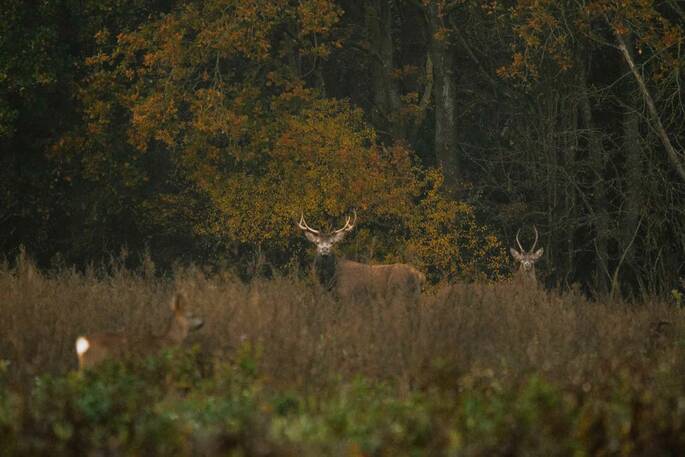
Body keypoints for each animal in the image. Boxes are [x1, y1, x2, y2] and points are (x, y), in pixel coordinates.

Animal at [297, 211, 426, 302]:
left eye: (332, 243)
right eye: (317, 242)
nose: (325, 249)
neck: (331, 279)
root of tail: (419, 275)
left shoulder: (347, 295)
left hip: (399, 292)